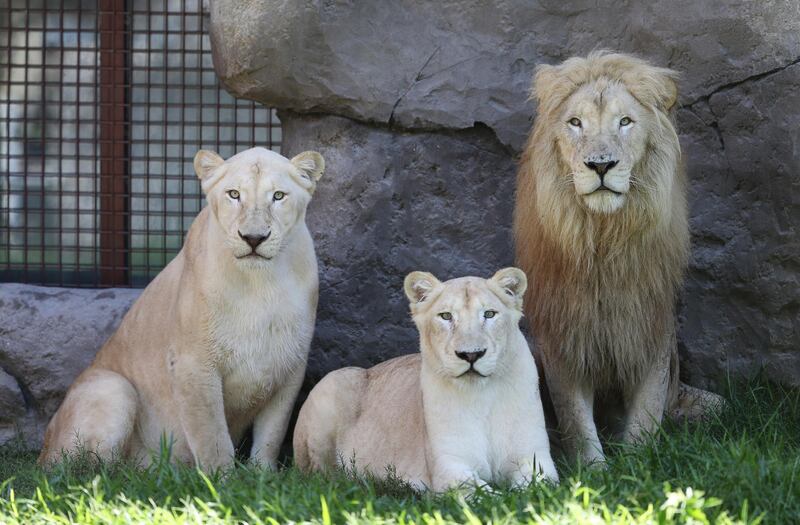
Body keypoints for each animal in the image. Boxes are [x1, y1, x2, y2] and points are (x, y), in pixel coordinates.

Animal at [37, 145, 324, 468]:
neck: (260, 284)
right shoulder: (193, 364)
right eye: (234, 194)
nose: (253, 238)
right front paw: (221, 479)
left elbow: (272, 435)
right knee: (85, 470)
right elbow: (212, 436)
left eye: (278, 196)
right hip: (113, 388)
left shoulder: (289, 367)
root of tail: (42, 450)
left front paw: (262, 473)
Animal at [292, 268, 556, 490]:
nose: (471, 354)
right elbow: (486, 495)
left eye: (489, 314)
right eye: (446, 316)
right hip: (333, 381)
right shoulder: (449, 469)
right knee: (322, 477)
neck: (482, 395)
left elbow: (532, 492)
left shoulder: (535, 459)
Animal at [516, 52, 720, 462]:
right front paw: (594, 469)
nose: (600, 165)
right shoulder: (564, 336)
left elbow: (646, 414)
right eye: (575, 123)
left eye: (625, 122)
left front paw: (638, 464)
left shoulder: (651, 328)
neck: (603, 238)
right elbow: (576, 420)